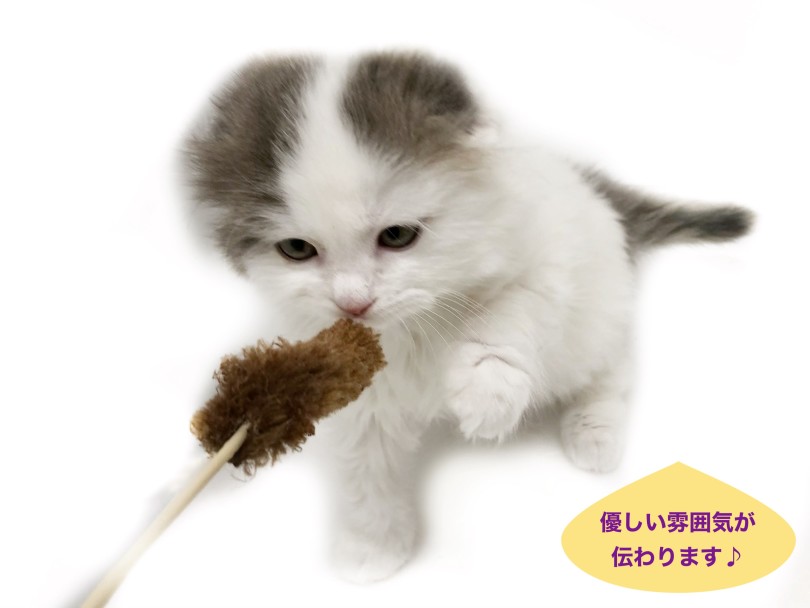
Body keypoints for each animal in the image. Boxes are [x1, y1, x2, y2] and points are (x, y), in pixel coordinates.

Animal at [182, 51, 752, 582]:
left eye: (397, 235)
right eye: (297, 249)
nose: (353, 302)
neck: (412, 327)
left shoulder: (546, 263)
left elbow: (506, 314)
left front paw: (487, 394)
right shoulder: (354, 382)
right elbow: (366, 468)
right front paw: (372, 547)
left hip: (595, 317)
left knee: (610, 371)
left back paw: (593, 433)